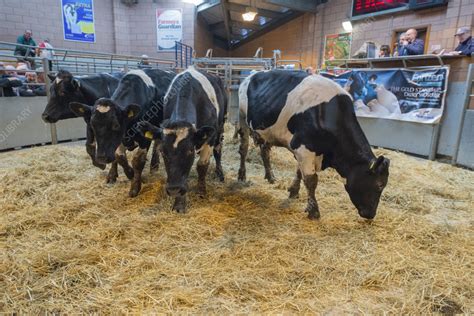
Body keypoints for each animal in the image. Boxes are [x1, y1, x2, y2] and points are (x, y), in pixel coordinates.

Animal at [69, 69, 175, 198]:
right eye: (92, 125)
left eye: (116, 125)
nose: (101, 157)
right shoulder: (120, 139)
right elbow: (119, 157)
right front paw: (129, 173)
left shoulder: (144, 137)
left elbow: (138, 161)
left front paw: (135, 186)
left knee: (158, 143)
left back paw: (154, 166)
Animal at [138, 66, 227, 212]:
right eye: (163, 152)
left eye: (189, 151)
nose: (174, 189)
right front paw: (179, 203)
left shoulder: (209, 138)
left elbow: (202, 166)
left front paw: (201, 192)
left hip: (221, 126)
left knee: (218, 150)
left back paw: (220, 174)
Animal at [239, 70, 390, 220]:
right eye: (379, 185)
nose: (371, 214)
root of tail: (252, 74)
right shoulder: (303, 148)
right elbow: (311, 180)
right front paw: (313, 210)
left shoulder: (303, 150)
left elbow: (299, 172)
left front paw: (294, 191)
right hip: (242, 117)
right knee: (243, 148)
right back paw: (241, 176)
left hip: (267, 133)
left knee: (265, 151)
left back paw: (270, 176)